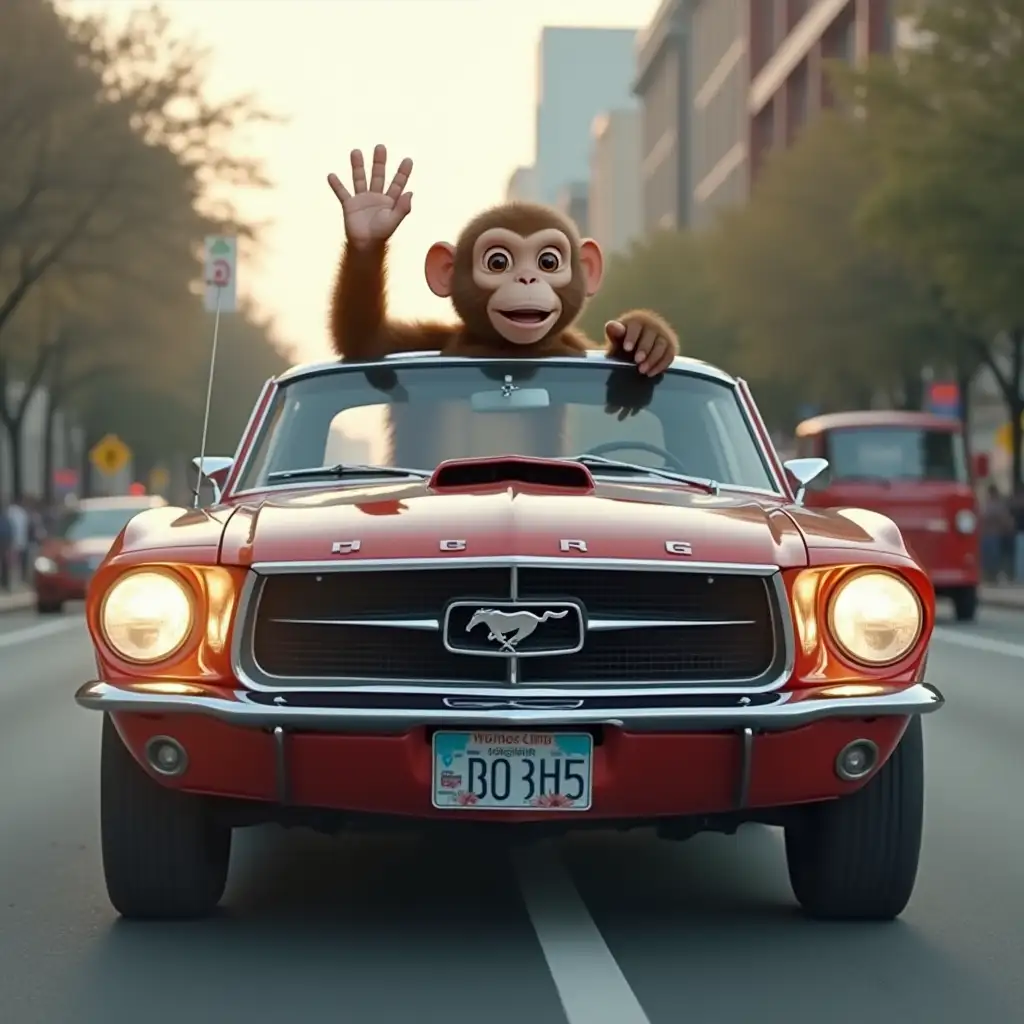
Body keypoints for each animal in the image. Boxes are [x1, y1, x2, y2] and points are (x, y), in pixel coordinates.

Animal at [327, 144, 679, 464]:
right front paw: (370, 220)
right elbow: (367, 342)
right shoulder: (431, 342)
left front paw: (645, 337)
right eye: (498, 262)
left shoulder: (573, 347)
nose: (526, 278)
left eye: (548, 262)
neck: (509, 351)